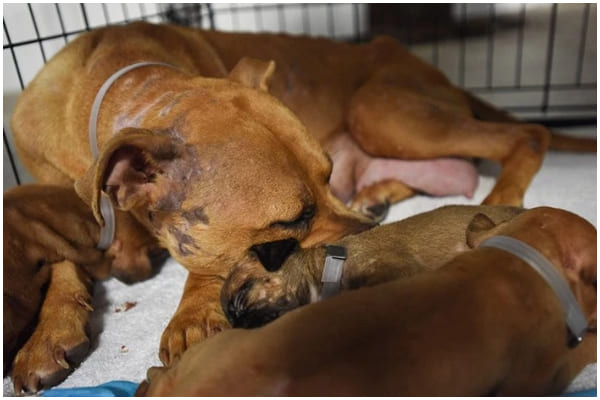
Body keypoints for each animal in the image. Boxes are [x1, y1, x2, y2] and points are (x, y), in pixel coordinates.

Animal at [11, 21, 592, 366]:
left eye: (329, 175)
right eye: (291, 220)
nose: (372, 238)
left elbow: (204, 266)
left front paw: (192, 313)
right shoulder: (59, 199)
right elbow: (60, 258)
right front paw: (46, 334)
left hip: (380, 109)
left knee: (527, 135)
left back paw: (501, 192)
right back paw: (381, 191)